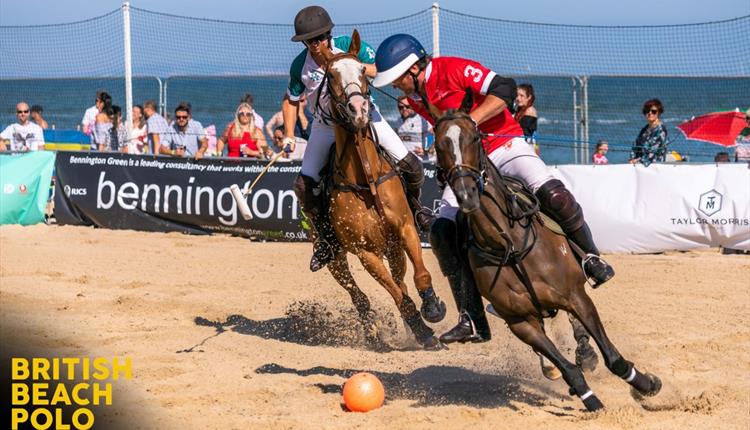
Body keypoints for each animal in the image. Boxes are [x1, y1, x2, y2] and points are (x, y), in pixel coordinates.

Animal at [316, 31, 446, 352]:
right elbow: (399, 298)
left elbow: (420, 276)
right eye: (331, 75)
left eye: (363, 70)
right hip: (335, 257)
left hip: (393, 247)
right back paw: (377, 332)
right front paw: (423, 332)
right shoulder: (366, 253)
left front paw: (432, 309)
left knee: (401, 281)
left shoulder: (404, 228)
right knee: (359, 295)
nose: (360, 111)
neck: (367, 178)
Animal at [428, 89, 664, 412]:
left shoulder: (576, 297)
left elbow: (612, 357)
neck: (510, 245)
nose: (465, 195)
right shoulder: (520, 322)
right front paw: (589, 398)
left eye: (475, 138)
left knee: (555, 196)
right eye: (439, 145)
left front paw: (647, 384)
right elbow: (565, 366)